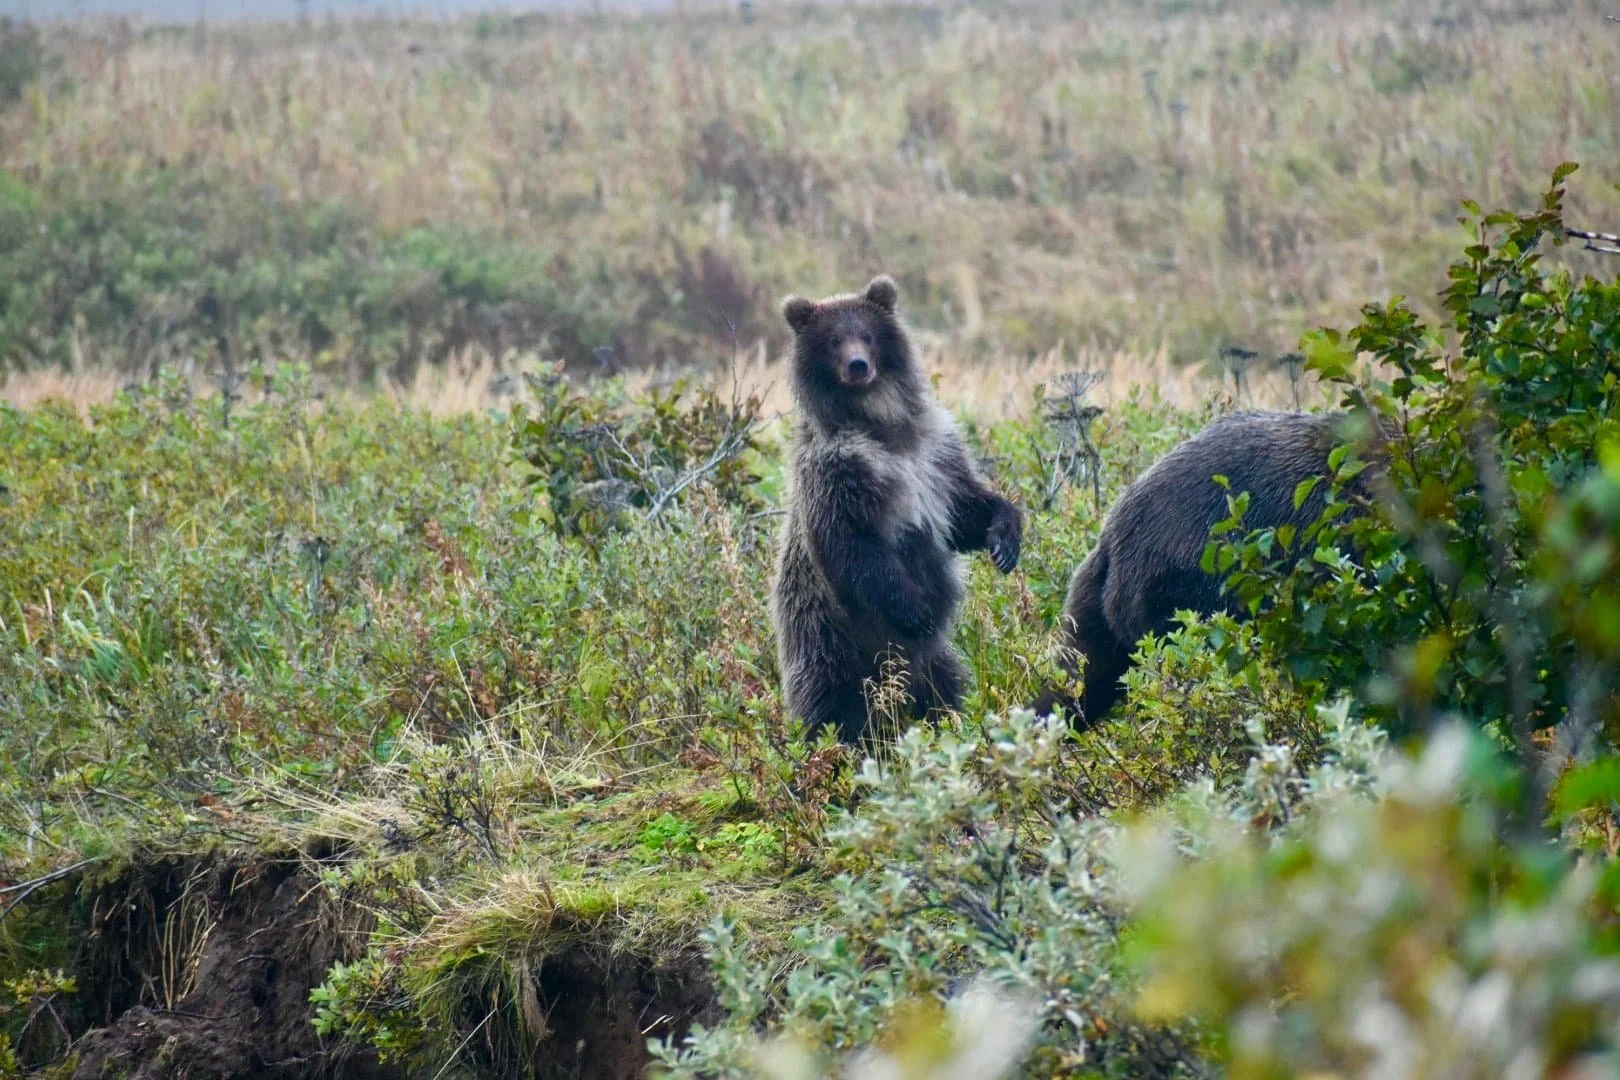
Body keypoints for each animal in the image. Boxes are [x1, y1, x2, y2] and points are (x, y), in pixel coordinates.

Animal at [770, 275, 1024, 746]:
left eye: (867, 334)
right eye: (833, 340)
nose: (857, 366)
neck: (880, 426)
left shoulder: (935, 456)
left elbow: (964, 508)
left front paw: (1004, 539)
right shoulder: (837, 475)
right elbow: (853, 547)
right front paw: (915, 611)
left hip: (932, 662)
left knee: (946, 684)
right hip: (827, 644)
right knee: (833, 705)